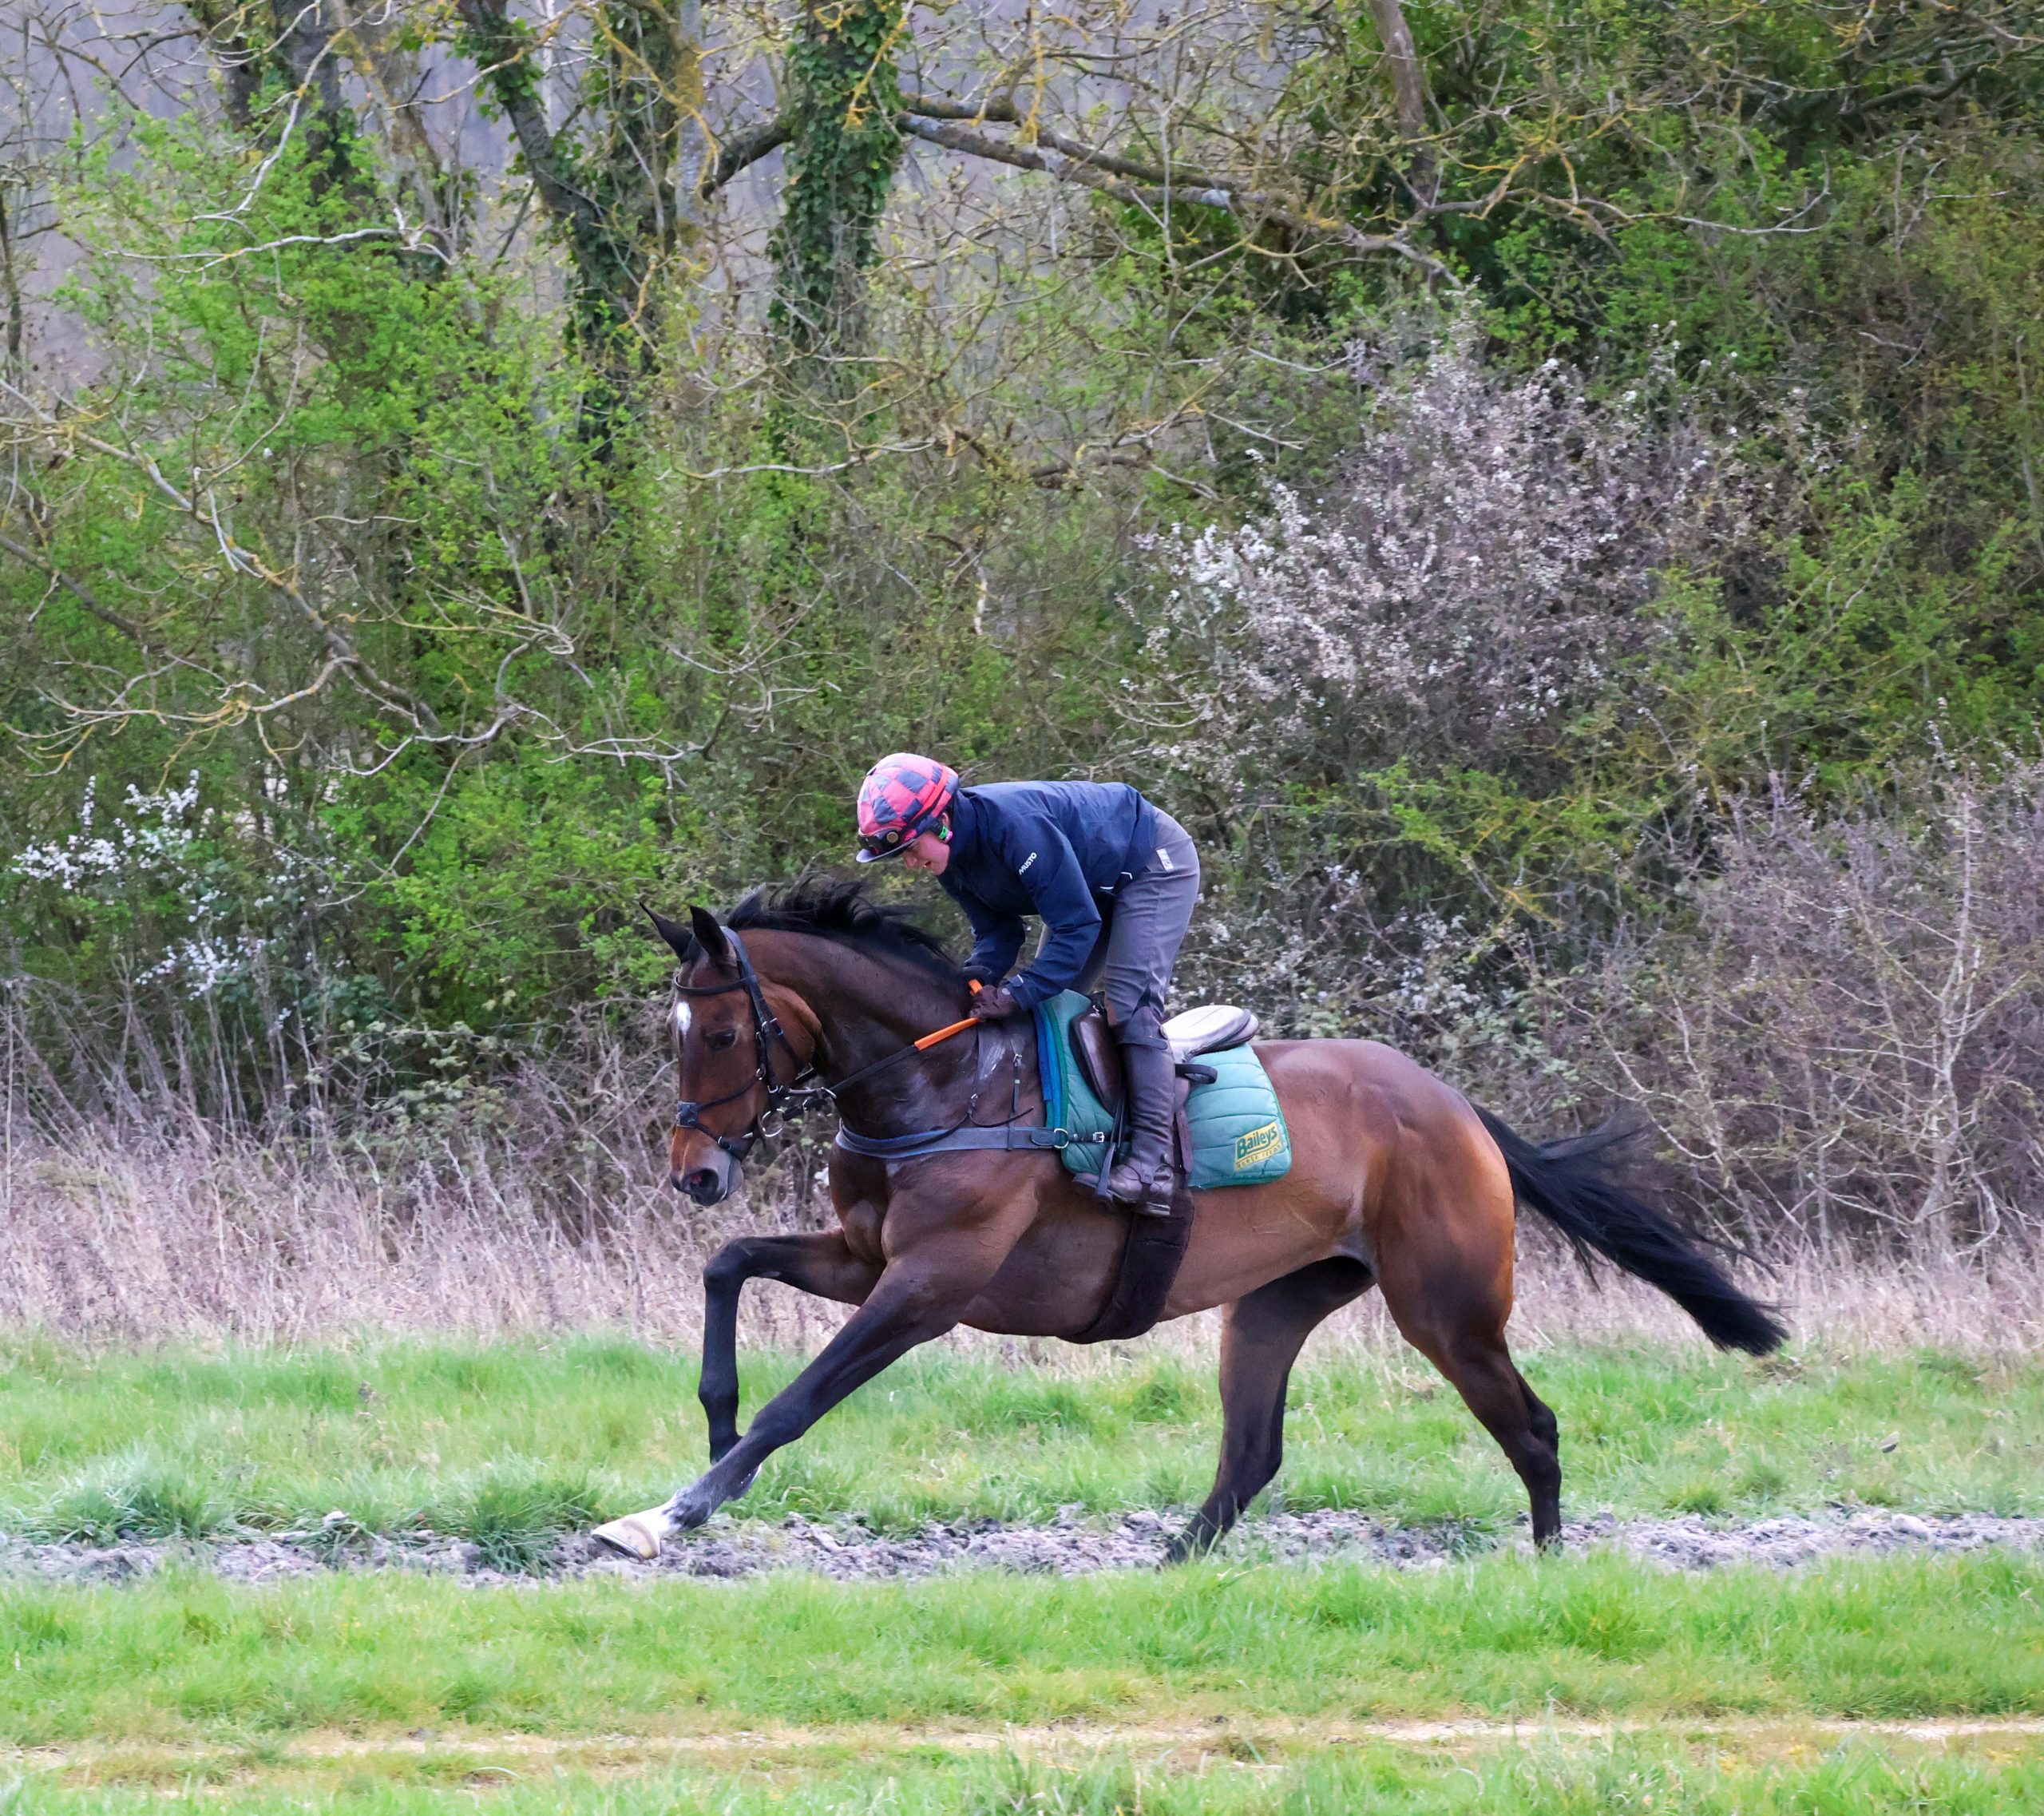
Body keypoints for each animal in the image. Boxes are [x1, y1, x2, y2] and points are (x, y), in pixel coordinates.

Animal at [591, 878, 1785, 1563]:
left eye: (720, 1035)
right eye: (678, 1034)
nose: (695, 1171)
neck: (940, 1086)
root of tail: (1455, 1108)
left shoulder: (932, 1283)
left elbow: (801, 1399)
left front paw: (678, 1510)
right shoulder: (861, 1255)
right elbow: (729, 1267)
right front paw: (713, 1433)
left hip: (1447, 1305)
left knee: (1530, 1427)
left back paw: (1545, 1566)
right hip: (1276, 1302)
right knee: (1252, 1451)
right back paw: (1171, 1565)